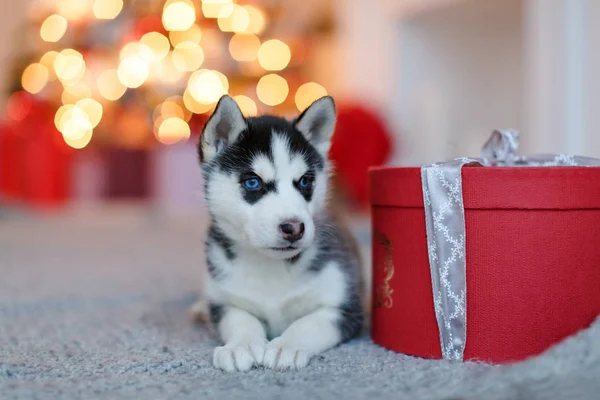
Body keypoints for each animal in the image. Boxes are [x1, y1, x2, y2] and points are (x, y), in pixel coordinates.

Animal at [197, 94, 364, 372]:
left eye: (306, 181)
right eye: (252, 182)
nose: (294, 228)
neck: (271, 267)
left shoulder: (346, 307)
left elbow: (309, 323)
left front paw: (287, 345)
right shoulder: (225, 301)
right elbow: (240, 320)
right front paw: (240, 345)